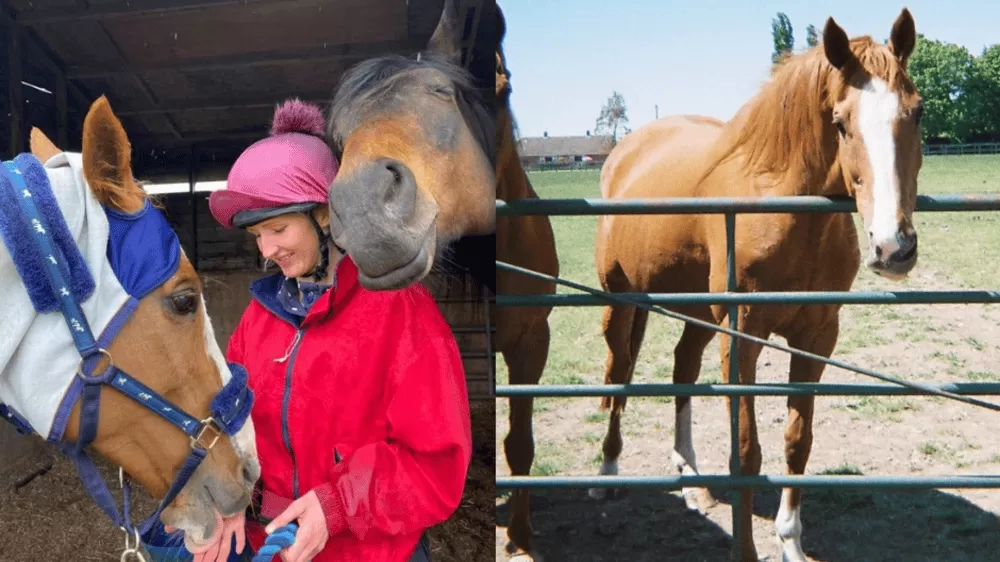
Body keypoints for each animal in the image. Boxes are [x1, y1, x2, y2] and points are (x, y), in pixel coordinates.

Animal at [590, 10, 922, 562]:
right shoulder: (743, 336)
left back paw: (691, 476)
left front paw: (789, 541)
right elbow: (745, 450)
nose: (893, 246)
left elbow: (797, 441)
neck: (783, 204)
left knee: (682, 368)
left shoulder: (816, 336)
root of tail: (624, 153)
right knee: (620, 373)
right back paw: (607, 473)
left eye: (915, 114)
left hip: (699, 313)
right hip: (621, 301)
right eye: (840, 122)